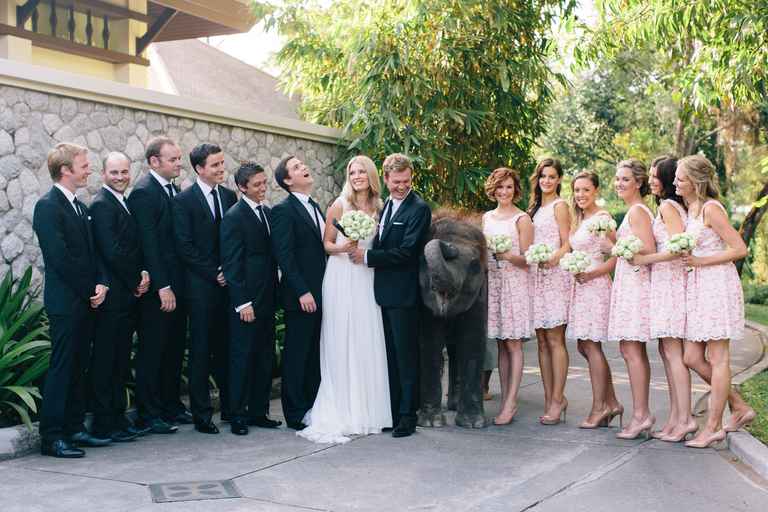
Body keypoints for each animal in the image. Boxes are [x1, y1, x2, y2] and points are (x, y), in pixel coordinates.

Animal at [420, 214, 486, 430]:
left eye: (474, 265)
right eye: (422, 261)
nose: (449, 246)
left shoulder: (480, 292)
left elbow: (472, 341)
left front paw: (473, 424)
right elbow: (429, 343)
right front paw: (431, 423)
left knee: (456, 349)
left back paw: (455, 406)